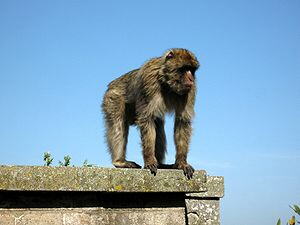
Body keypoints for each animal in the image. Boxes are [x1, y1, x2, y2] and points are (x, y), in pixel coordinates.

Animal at [102, 48, 199, 178]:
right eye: (184, 69)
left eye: (192, 70)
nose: (191, 79)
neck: (166, 83)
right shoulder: (148, 81)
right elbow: (146, 119)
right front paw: (149, 161)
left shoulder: (190, 90)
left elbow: (182, 121)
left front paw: (181, 163)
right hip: (112, 98)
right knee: (118, 124)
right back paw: (119, 161)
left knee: (158, 124)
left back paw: (161, 164)